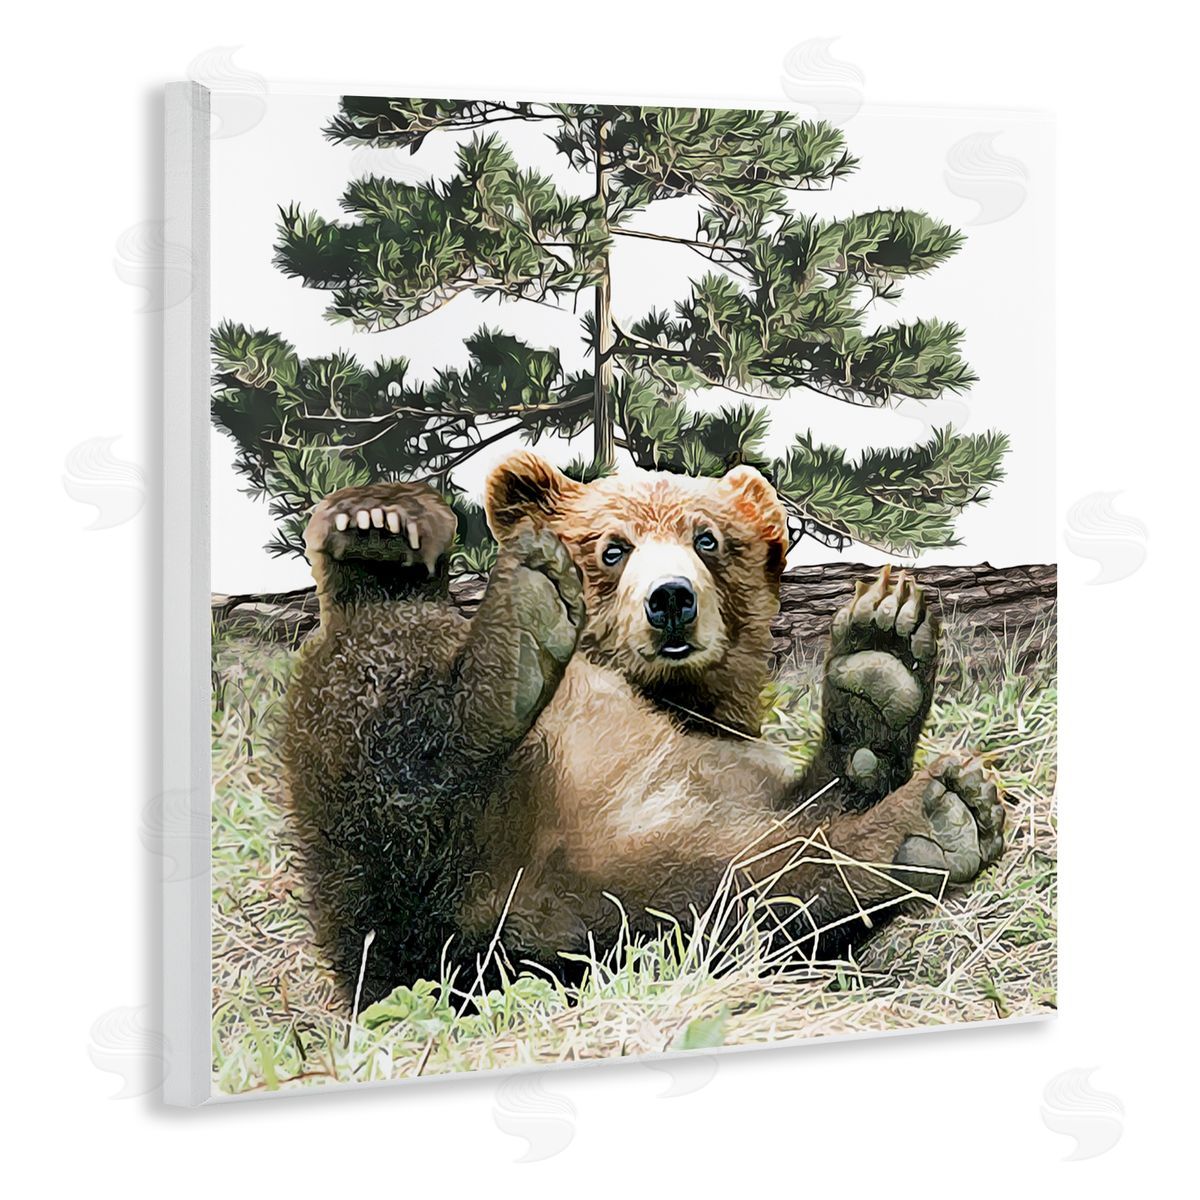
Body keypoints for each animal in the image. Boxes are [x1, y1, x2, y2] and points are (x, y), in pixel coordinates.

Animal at [281, 452, 1004, 1007]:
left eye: (707, 538)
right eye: (613, 546)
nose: (672, 598)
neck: (668, 698)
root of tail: (494, 906)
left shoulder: (726, 765)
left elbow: (800, 830)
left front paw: (879, 671)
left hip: (609, 903)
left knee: (751, 892)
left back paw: (929, 813)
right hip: (396, 871)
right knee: (376, 705)